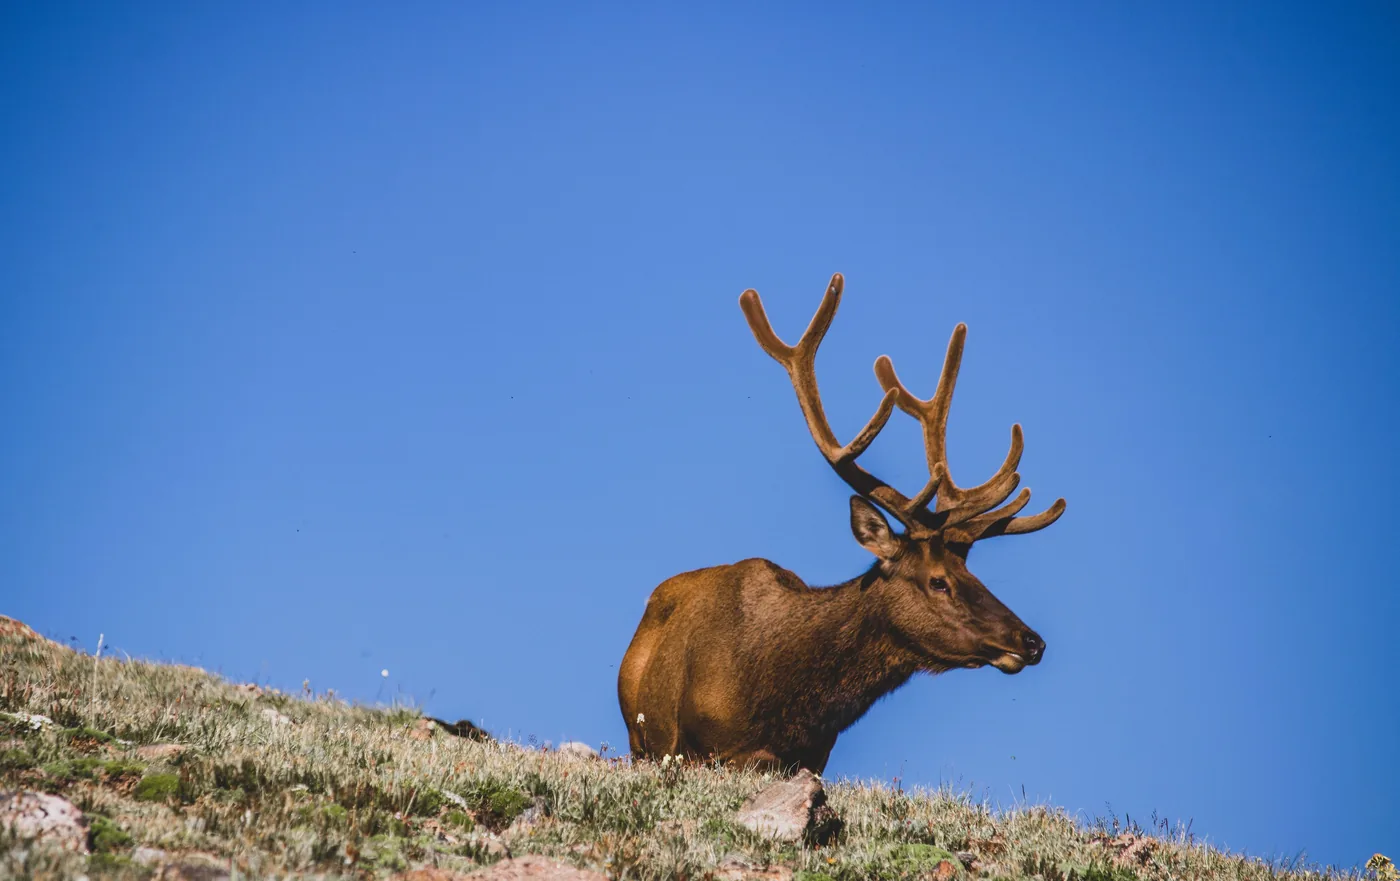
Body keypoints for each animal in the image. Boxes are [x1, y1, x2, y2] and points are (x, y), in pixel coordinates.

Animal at [617, 273, 1066, 774]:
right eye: (939, 581)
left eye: (972, 572)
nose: (1031, 641)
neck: (778, 701)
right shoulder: (700, 749)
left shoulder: (814, 756)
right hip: (639, 740)